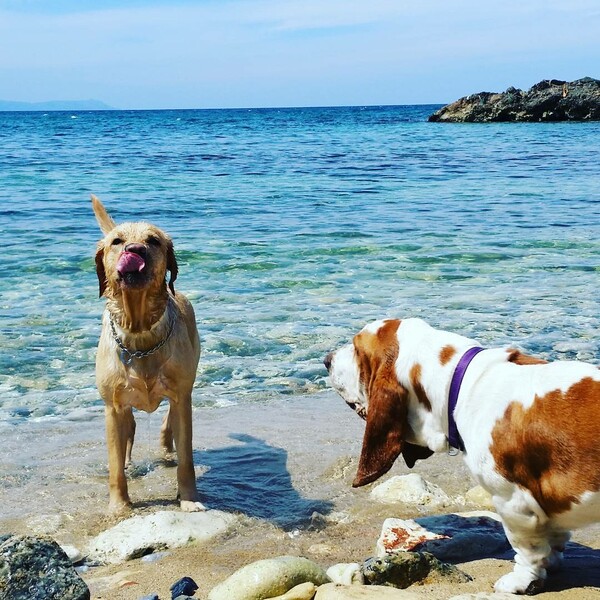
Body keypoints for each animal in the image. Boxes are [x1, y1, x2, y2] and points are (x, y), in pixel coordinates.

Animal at [326, 318, 600, 596]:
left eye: (356, 348)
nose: (327, 359)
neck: (461, 385)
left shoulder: (513, 502)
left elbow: (527, 549)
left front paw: (521, 580)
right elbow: (554, 537)